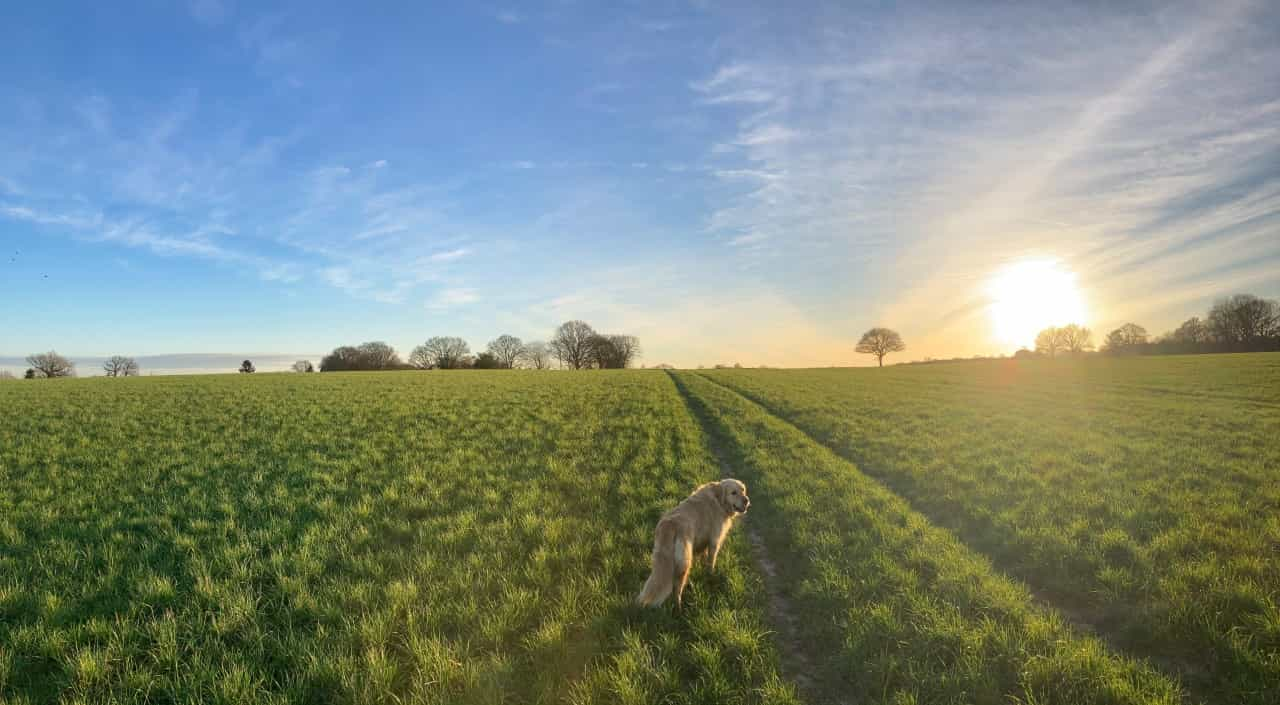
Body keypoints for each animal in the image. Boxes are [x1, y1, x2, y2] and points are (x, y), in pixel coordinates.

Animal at [637, 478, 747, 609]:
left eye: (743, 490)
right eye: (733, 493)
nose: (746, 500)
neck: (719, 500)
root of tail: (669, 525)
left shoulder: (704, 543)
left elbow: (704, 558)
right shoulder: (714, 542)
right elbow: (711, 563)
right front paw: (710, 575)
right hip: (685, 562)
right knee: (676, 589)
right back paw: (679, 607)